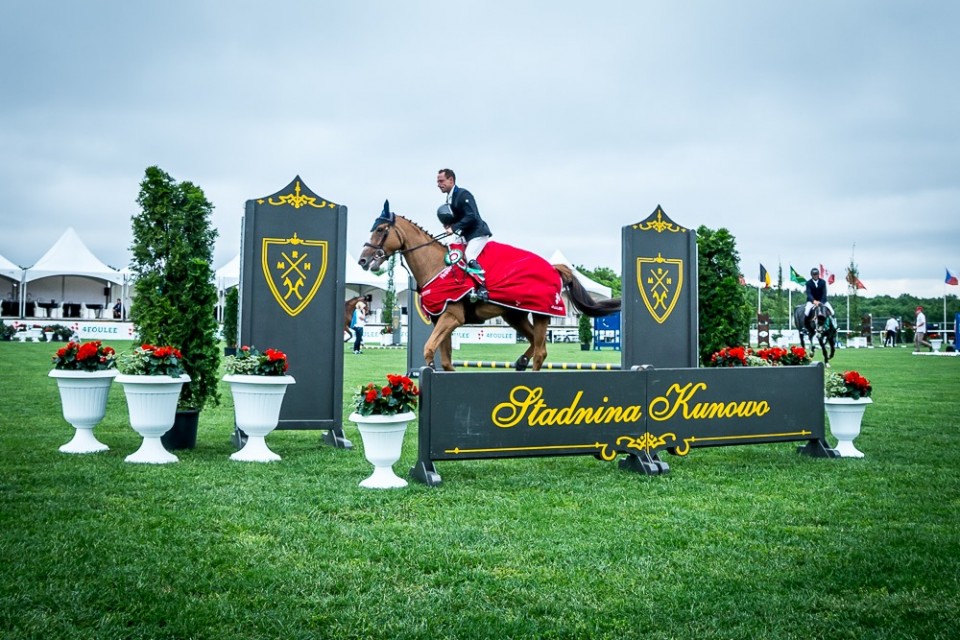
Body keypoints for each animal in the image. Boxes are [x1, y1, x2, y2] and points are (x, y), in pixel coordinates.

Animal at [356, 208, 620, 372]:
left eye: (380, 230)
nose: (363, 261)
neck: (436, 266)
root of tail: (554, 268)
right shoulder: (441, 320)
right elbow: (447, 360)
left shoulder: (451, 317)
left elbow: (429, 349)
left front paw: (429, 370)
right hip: (514, 314)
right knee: (533, 343)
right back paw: (520, 361)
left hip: (542, 313)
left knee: (541, 352)